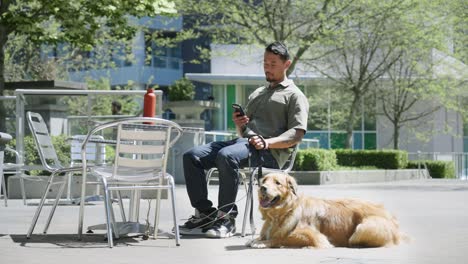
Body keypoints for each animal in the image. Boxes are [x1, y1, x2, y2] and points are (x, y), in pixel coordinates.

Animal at [245, 172, 406, 249]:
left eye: (277, 183)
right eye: (264, 181)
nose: (262, 188)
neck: (285, 210)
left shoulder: (315, 237)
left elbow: (281, 238)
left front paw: (263, 242)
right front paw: (256, 239)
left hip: (362, 228)